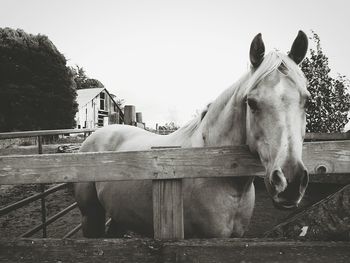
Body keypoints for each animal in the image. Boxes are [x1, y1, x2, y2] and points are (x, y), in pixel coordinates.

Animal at [74, 31, 308, 239]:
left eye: (307, 100)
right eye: (251, 102)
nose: (290, 182)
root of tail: (96, 135)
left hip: (119, 215)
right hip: (90, 217)